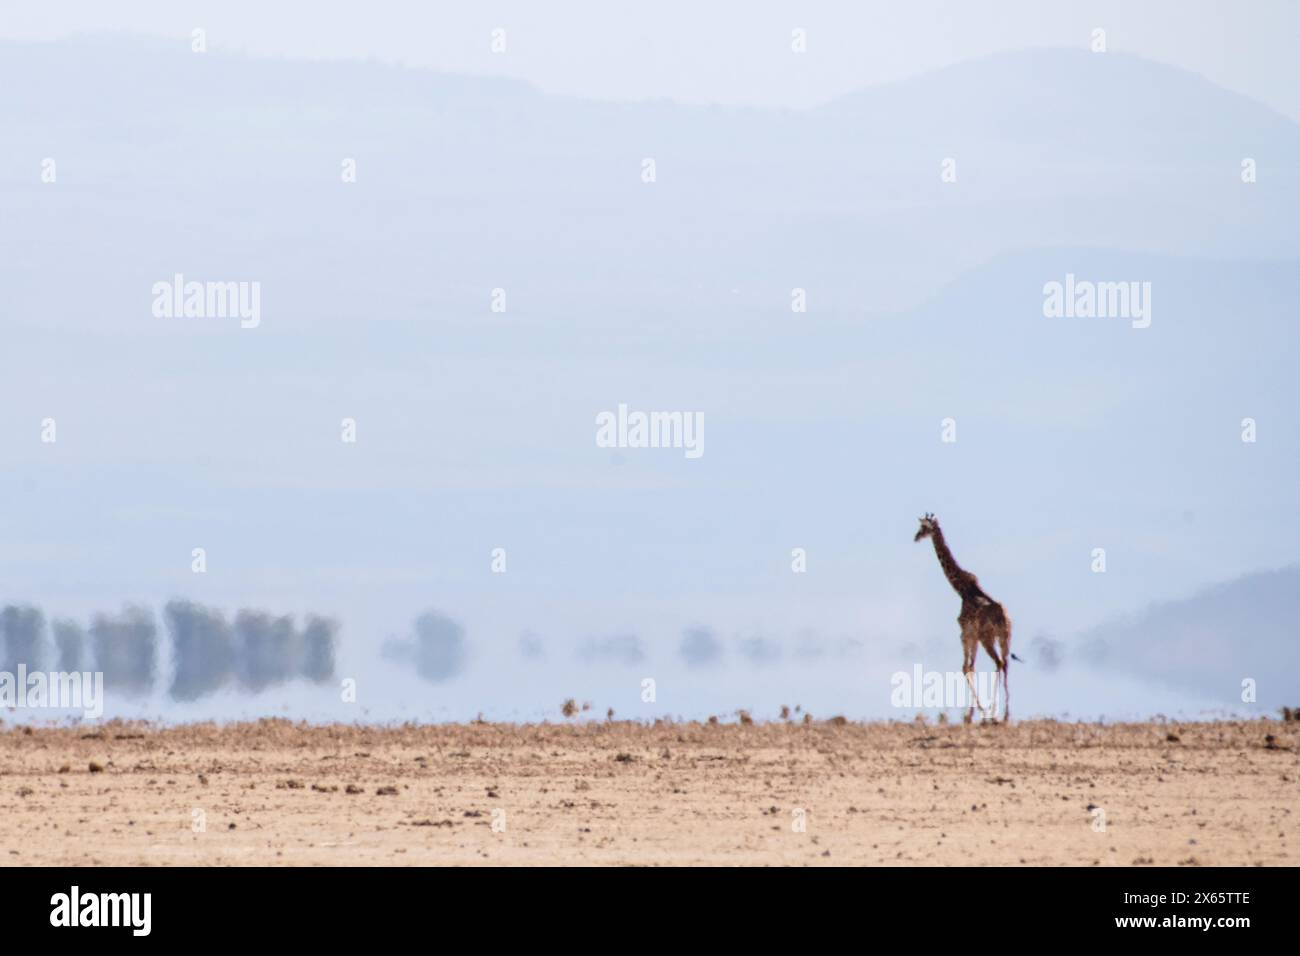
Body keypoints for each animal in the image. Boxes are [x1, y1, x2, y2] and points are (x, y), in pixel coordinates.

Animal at [909, 515, 1019, 723]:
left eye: (924, 527)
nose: (916, 537)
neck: (961, 589)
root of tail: (1003, 617)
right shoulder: (972, 635)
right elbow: (970, 667)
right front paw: (976, 711)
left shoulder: (966, 633)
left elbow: (966, 667)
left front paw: (975, 712)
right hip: (1005, 637)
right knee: (1006, 663)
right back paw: (1006, 713)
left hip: (986, 638)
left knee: (998, 663)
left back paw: (993, 712)